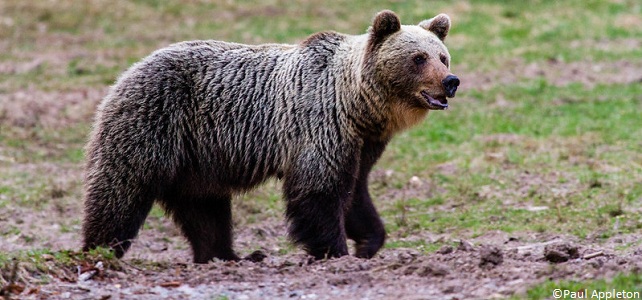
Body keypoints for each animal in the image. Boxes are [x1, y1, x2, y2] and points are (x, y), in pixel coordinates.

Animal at [82, 9, 458, 262]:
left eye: (443, 56)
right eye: (418, 58)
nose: (450, 81)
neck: (355, 103)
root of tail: (127, 72)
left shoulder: (361, 144)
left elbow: (355, 192)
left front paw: (368, 242)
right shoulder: (319, 126)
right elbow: (318, 192)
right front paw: (334, 251)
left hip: (197, 160)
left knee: (205, 210)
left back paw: (227, 256)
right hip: (152, 123)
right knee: (120, 192)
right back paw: (100, 251)